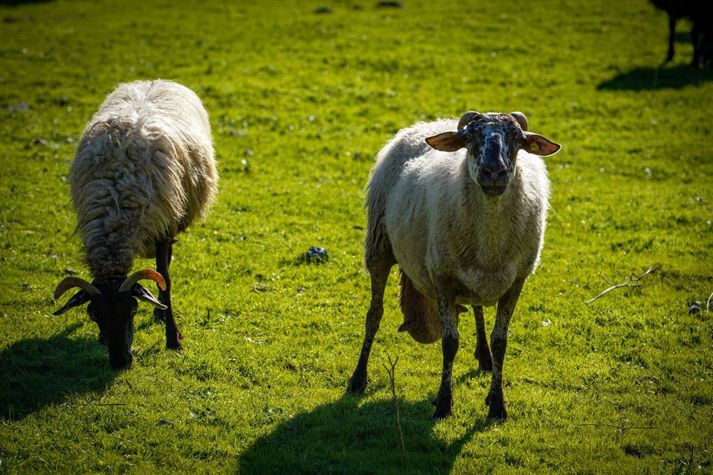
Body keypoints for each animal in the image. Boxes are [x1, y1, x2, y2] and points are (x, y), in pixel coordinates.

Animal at [52, 80, 217, 370]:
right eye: (93, 315)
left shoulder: (163, 227)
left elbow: (166, 279)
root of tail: (156, 80)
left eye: (132, 309)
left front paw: (173, 338)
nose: (120, 362)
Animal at [346, 110, 560, 420]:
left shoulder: (516, 281)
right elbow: (450, 343)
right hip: (380, 244)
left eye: (518, 140)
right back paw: (357, 379)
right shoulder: (443, 278)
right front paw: (444, 403)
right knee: (374, 314)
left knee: (478, 308)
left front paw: (497, 404)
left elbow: (501, 341)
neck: (490, 237)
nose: (494, 172)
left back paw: (485, 357)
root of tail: (433, 123)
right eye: (468, 139)